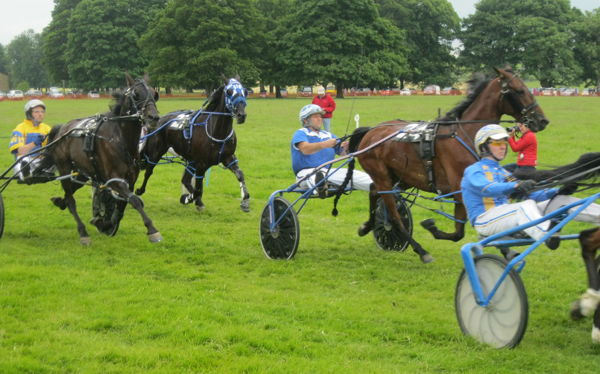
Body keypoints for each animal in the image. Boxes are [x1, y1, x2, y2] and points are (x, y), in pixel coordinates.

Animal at [45, 74, 162, 247]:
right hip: (64, 167)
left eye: (155, 94)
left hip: (83, 172)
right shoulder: (114, 180)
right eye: (136, 94)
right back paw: (83, 233)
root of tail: (62, 129)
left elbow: (123, 204)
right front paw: (152, 230)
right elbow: (135, 200)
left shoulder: (130, 180)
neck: (120, 139)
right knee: (71, 200)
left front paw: (106, 223)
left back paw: (61, 201)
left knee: (70, 192)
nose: (153, 117)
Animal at [135, 75, 248, 212]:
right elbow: (198, 189)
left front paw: (245, 201)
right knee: (149, 172)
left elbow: (240, 175)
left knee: (185, 180)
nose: (241, 115)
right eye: (229, 92)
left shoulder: (228, 158)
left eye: (245, 91)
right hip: (156, 153)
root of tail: (158, 120)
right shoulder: (201, 164)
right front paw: (189, 198)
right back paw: (140, 190)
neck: (215, 131)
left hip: (190, 160)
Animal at [344, 66, 548, 262]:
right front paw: (432, 228)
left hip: (402, 177)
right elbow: (458, 233)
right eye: (519, 91)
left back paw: (367, 226)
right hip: (383, 177)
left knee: (373, 190)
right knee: (394, 215)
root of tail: (371, 131)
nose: (542, 120)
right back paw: (420, 250)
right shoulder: (459, 188)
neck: (466, 132)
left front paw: (507, 249)